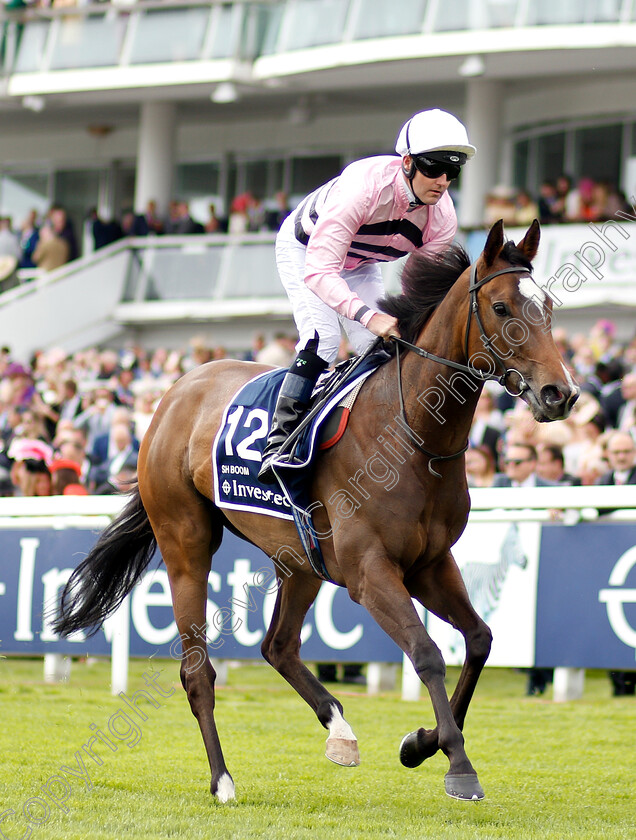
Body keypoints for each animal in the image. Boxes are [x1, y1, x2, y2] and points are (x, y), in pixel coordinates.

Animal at [54, 220, 580, 804]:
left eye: (547, 306)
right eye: (503, 307)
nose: (560, 393)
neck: (413, 433)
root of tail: (174, 393)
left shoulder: (431, 563)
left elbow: (480, 640)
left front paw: (420, 743)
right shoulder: (369, 571)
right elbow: (425, 652)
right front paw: (457, 764)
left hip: (299, 558)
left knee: (278, 646)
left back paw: (340, 731)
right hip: (186, 543)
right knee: (198, 671)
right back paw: (223, 780)